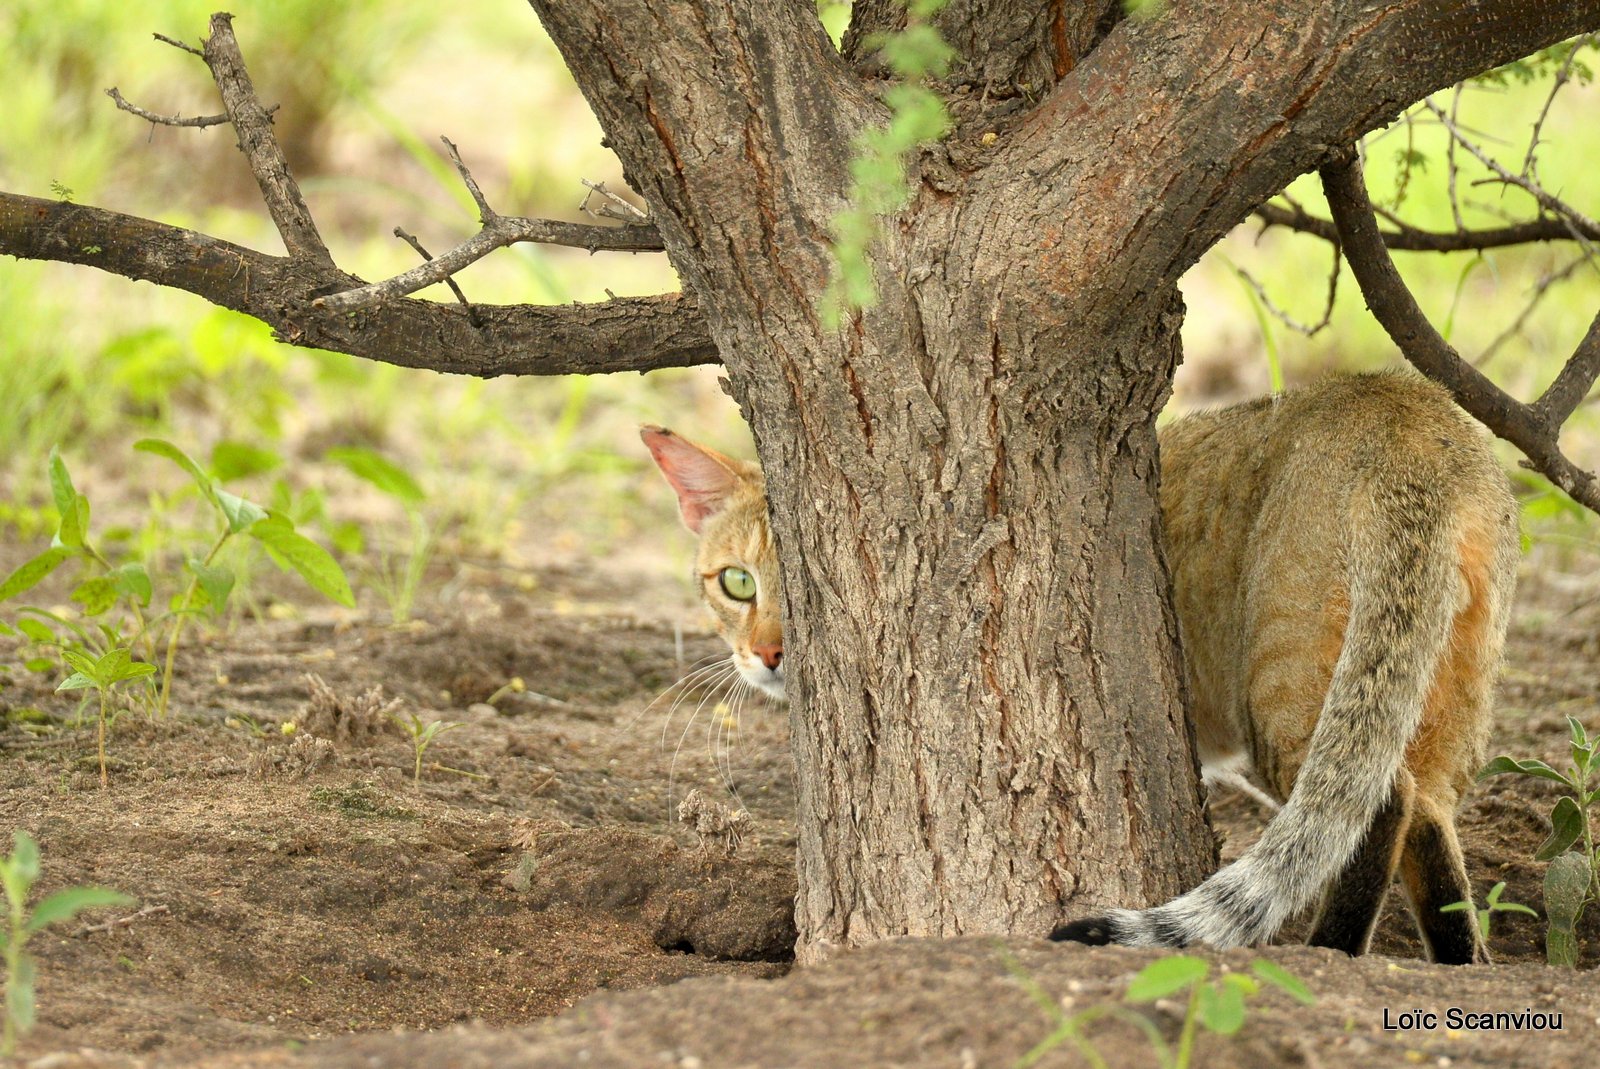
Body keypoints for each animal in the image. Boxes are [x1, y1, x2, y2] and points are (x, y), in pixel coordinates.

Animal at [640, 371, 1510, 966]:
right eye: (737, 582)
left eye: (806, 589)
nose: (770, 653)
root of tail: (1404, 403)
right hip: (1427, 691)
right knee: (1429, 815)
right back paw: (1460, 967)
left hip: (1295, 689)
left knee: (1382, 804)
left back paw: (1328, 952)